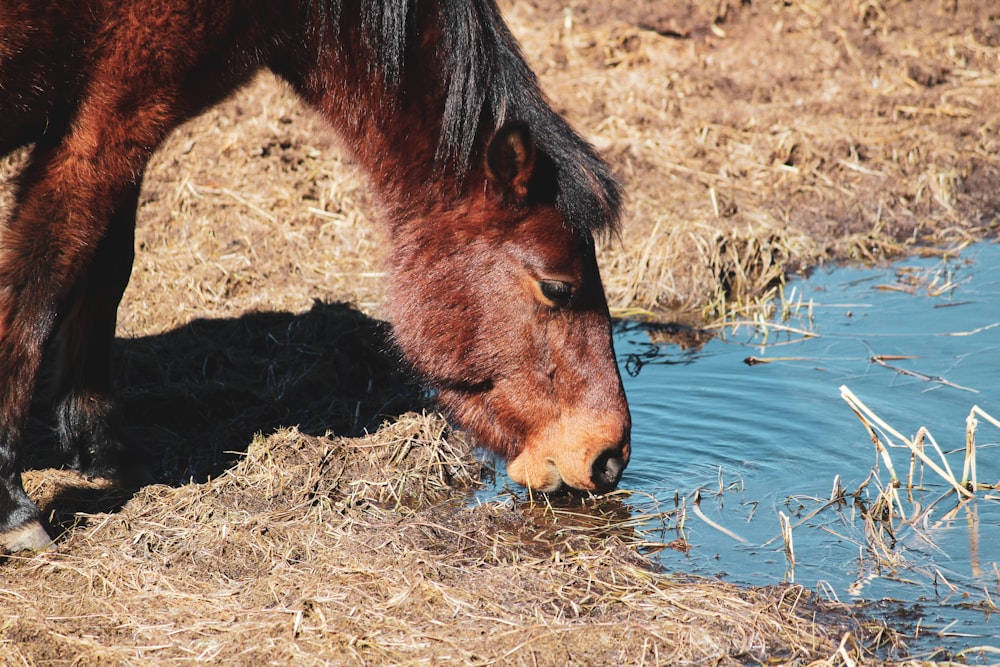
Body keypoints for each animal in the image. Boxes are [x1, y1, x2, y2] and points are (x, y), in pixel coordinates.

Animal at [0, 0, 632, 552]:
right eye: (557, 287)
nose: (609, 458)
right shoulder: (105, 123)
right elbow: (33, 288)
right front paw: (14, 508)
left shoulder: (120, 130)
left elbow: (105, 271)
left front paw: (96, 447)